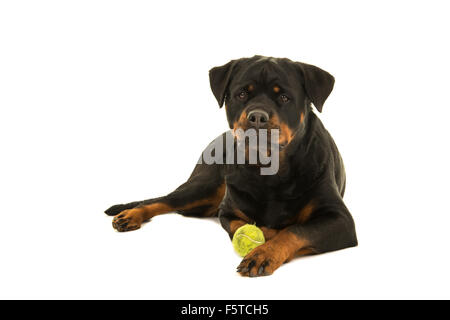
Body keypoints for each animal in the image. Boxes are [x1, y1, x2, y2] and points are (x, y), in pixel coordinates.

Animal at [103, 55, 356, 278]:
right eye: (242, 93)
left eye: (284, 97)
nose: (257, 117)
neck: (269, 172)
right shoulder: (227, 211)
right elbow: (239, 226)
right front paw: (264, 237)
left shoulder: (340, 219)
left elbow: (295, 230)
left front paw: (265, 252)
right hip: (203, 186)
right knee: (163, 200)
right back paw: (131, 215)